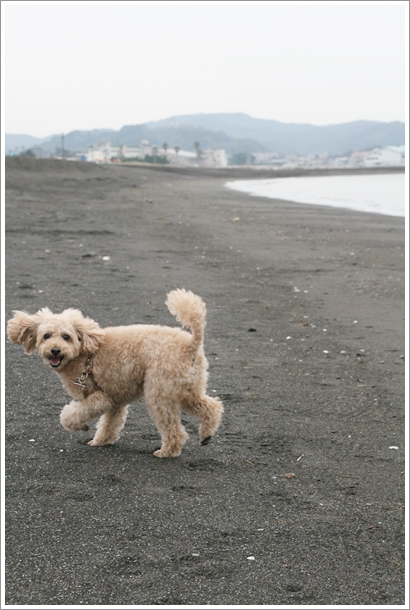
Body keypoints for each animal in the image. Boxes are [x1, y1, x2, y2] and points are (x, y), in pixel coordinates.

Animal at [6, 290, 223, 456]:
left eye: (66, 337)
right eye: (46, 336)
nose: (55, 350)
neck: (85, 353)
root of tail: (191, 345)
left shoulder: (100, 398)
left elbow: (70, 415)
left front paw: (78, 425)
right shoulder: (115, 399)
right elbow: (110, 424)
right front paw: (100, 441)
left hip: (159, 391)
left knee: (174, 429)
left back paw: (167, 452)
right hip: (186, 388)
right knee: (211, 407)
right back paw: (206, 434)